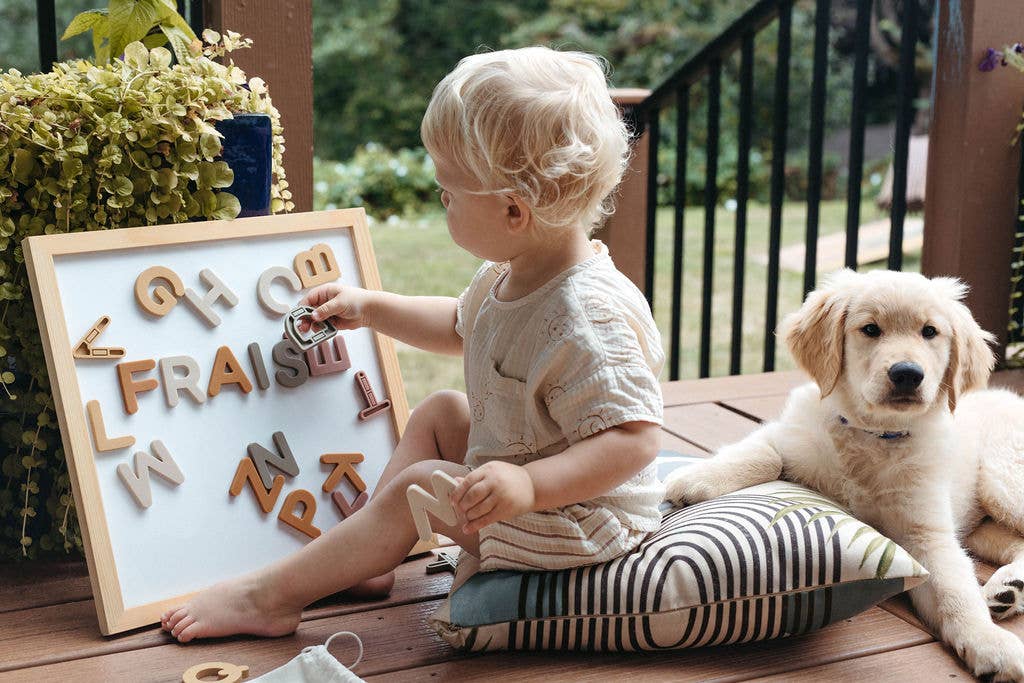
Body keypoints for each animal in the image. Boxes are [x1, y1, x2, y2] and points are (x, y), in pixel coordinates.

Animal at [663, 270, 1024, 679]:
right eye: (870, 329)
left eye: (930, 332)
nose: (907, 374)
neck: (874, 436)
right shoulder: (792, 433)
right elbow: (764, 454)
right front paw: (695, 479)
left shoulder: (926, 534)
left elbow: (955, 590)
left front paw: (989, 643)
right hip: (985, 521)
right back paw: (1009, 589)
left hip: (1002, 480)